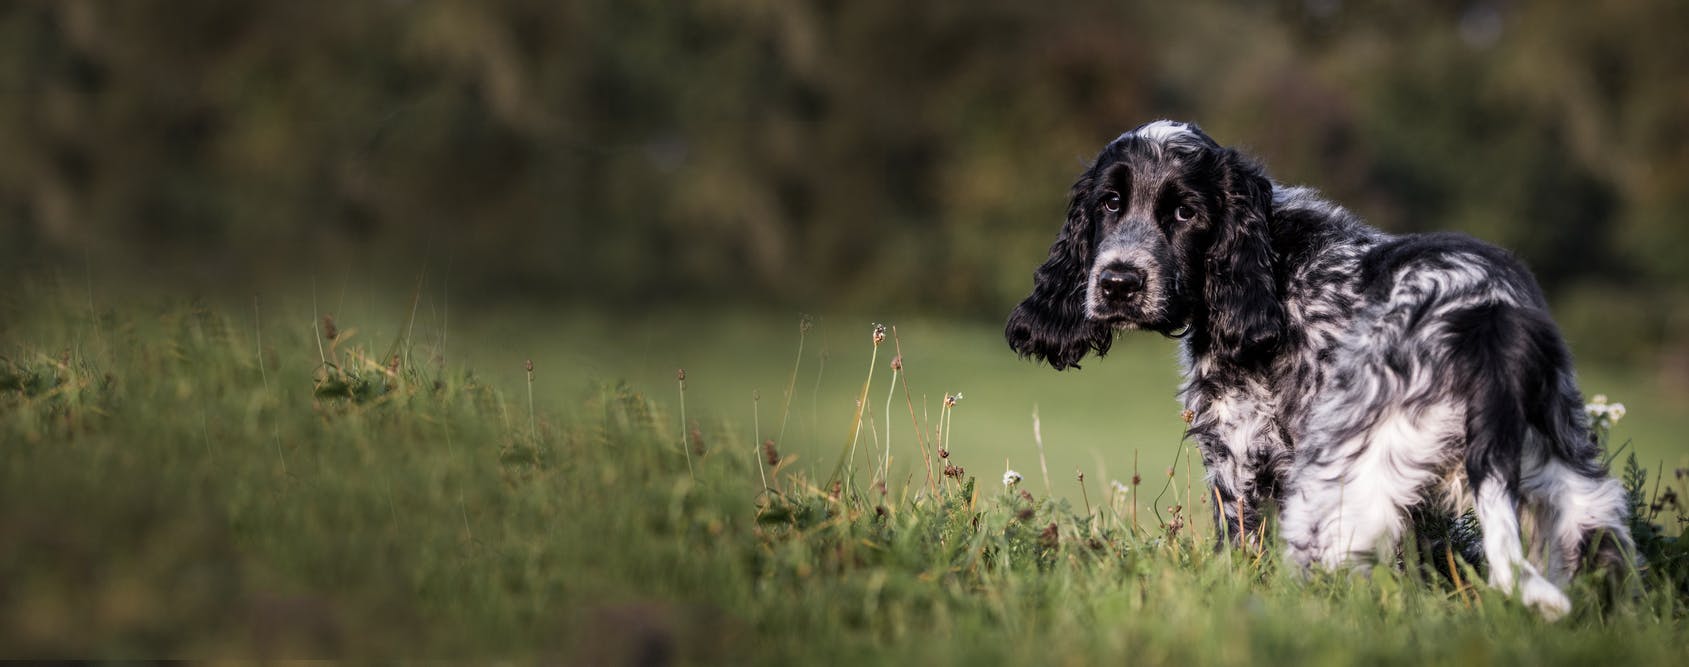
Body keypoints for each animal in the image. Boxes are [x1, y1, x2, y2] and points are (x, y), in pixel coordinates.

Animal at [999, 121, 1634, 621]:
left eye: (1186, 212)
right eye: (1109, 203)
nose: (1118, 284)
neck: (1267, 262)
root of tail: (1485, 316)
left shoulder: (1238, 461)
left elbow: (1239, 558)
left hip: (1337, 489)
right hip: (1570, 482)